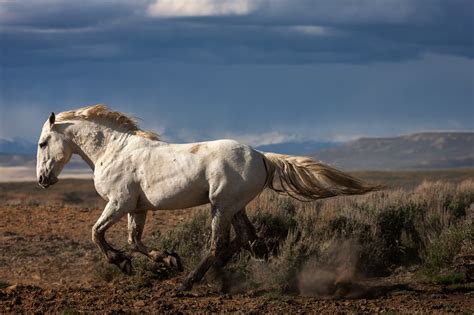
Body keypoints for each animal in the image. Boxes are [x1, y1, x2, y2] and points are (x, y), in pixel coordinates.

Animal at [36, 104, 378, 292]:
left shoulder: (118, 203)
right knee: (248, 240)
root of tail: (261, 156)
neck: (115, 151)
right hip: (235, 207)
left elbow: (96, 233)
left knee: (220, 244)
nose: (42, 180)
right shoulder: (136, 207)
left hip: (221, 206)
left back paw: (189, 283)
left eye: (42, 143)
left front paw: (123, 263)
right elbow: (135, 241)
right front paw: (167, 260)